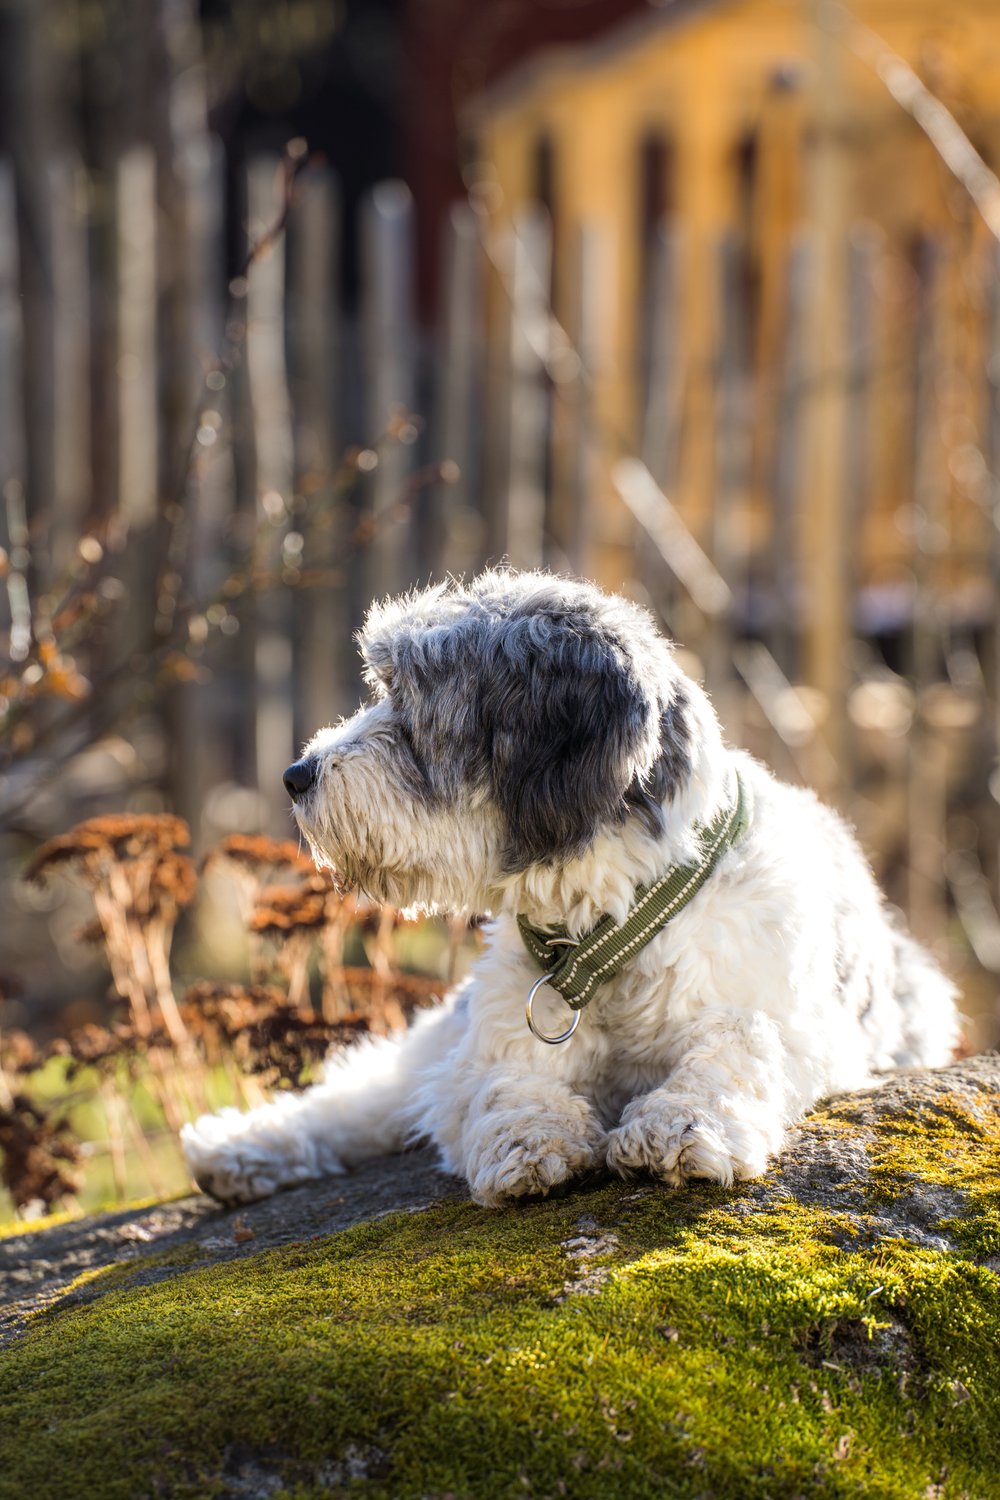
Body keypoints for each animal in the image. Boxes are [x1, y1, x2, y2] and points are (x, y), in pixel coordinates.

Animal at [182, 567, 959, 1212]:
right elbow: (501, 1078)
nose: (296, 776)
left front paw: (680, 1124)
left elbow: (741, 1042)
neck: (609, 934)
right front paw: (532, 1137)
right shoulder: (490, 1036)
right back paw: (238, 1150)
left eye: (412, 707)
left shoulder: (800, 1024)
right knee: (363, 1095)